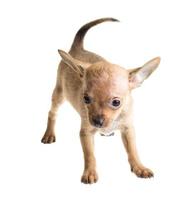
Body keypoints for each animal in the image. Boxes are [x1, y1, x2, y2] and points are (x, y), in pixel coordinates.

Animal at [41, 18, 160, 184]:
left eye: (116, 102)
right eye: (86, 99)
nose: (97, 122)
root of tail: (77, 49)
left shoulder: (128, 129)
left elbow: (133, 150)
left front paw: (139, 167)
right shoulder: (86, 133)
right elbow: (89, 155)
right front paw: (89, 172)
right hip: (59, 94)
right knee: (52, 112)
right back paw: (49, 134)